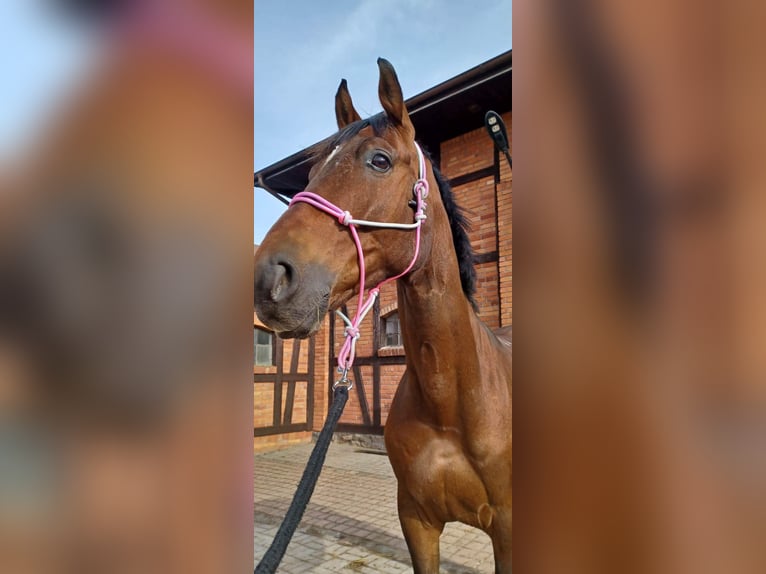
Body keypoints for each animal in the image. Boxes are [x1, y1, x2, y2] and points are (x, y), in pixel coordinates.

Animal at [253, 58, 512, 573]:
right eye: (311, 170)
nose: (268, 277)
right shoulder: (417, 521)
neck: (451, 404)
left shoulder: (510, 534)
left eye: (379, 160)